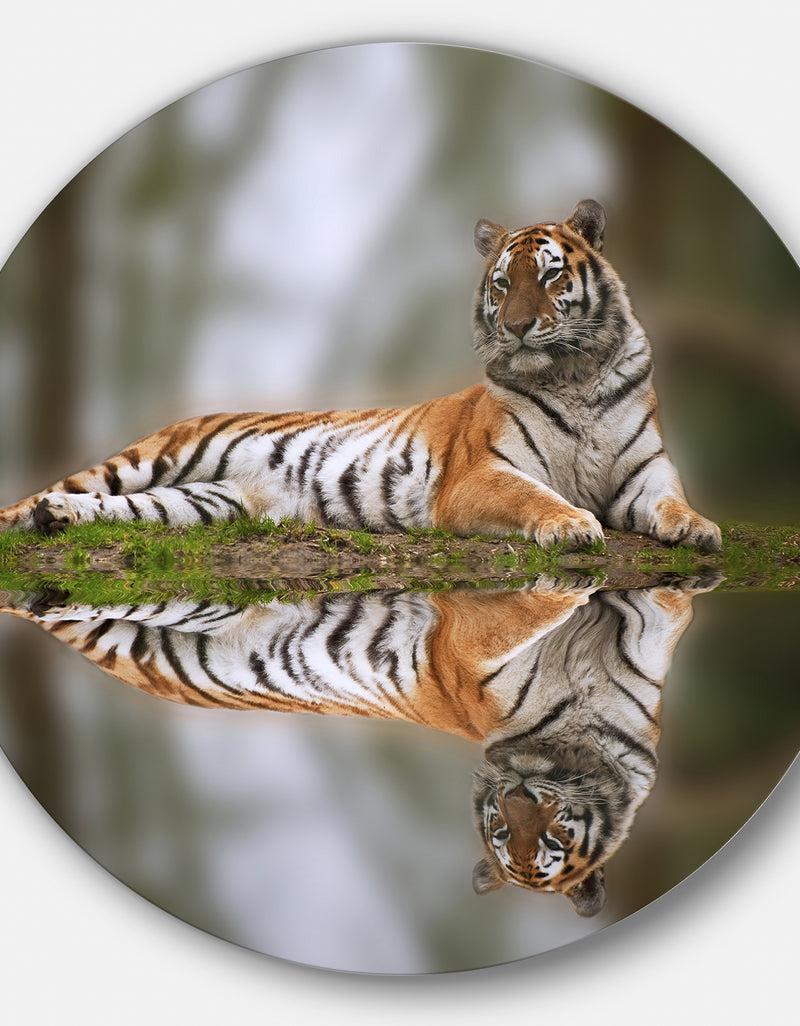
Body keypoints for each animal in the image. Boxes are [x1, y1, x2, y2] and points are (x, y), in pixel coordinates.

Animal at [0, 200, 720, 553]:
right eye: (501, 283)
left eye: (548, 276)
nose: (516, 327)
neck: (575, 376)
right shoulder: (480, 476)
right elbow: (535, 498)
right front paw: (571, 525)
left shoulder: (644, 473)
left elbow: (673, 501)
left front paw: (698, 529)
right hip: (151, 457)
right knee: (66, 488)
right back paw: (29, 516)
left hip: (203, 502)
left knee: (116, 509)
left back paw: (57, 520)